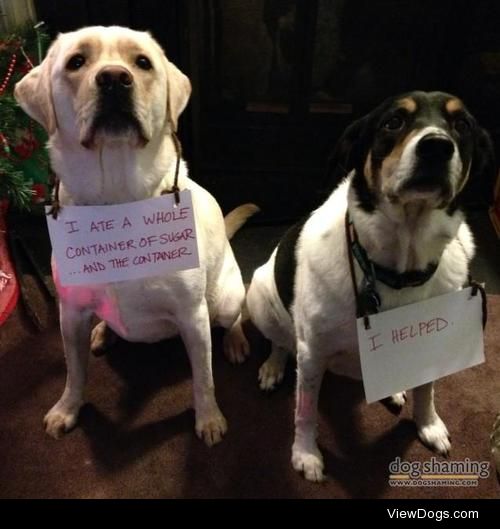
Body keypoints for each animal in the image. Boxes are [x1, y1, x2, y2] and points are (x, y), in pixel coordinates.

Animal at [15, 25, 256, 446]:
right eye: (76, 61)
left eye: (142, 62)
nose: (114, 78)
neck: (117, 200)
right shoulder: (69, 312)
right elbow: (74, 371)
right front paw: (67, 409)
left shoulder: (193, 316)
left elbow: (203, 378)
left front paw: (209, 418)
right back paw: (102, 332)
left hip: (224, 297)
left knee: (233, 316)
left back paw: (236, 341)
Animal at [244, 91, 494, 478]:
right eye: (393, 122)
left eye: (462, 125)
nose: (437, 147)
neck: (399, 272)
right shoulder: (312, 352)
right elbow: (305, 410)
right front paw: (305, 453)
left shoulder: (429, 340)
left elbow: (426, 389)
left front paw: (428, 425)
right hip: (260, 295)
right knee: (280, 340)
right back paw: (273, 366)